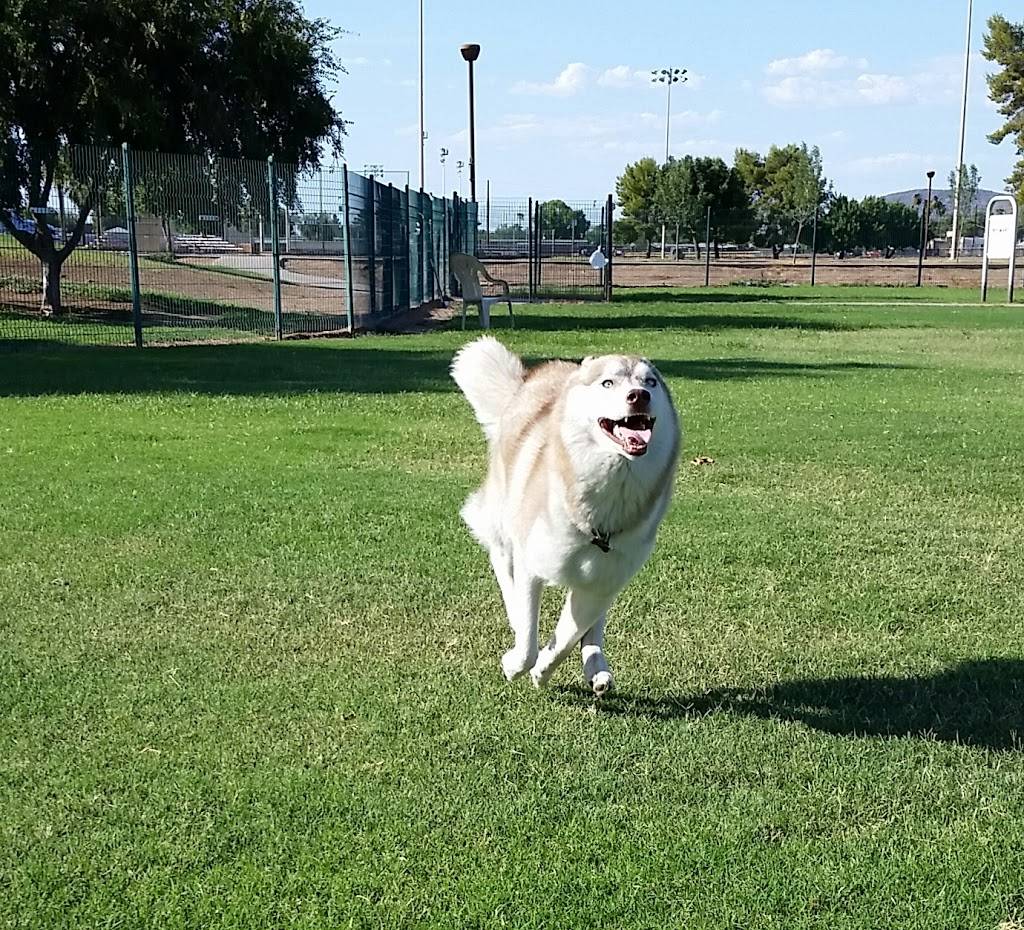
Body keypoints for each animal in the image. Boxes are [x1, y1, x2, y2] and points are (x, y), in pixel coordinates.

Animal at [450, 337, 679, 692]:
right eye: (608, 382)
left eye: (650, 382)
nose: (639, 395)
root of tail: (538, 375)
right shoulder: (531, 562)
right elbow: (528, 639)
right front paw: (517, 664)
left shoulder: (601, 583)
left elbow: (569, 637)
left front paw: (543, 670)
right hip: (504, 520)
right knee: (503, 563)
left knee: (591, 631)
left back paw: (597, 666)